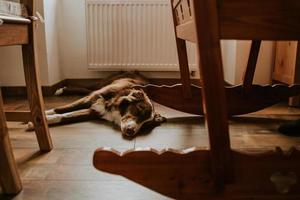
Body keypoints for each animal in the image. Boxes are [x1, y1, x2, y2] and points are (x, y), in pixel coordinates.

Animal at [27, 72, 166, 138]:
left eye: (145, 125)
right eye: (139, 109)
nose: (131, 132)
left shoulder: (94, 112)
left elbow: (66, 116)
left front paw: (40, 121)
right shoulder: (91, 99)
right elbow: (61, 109)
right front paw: (40, 116)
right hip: (101, 85)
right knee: (85, 88)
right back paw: (62, 89)